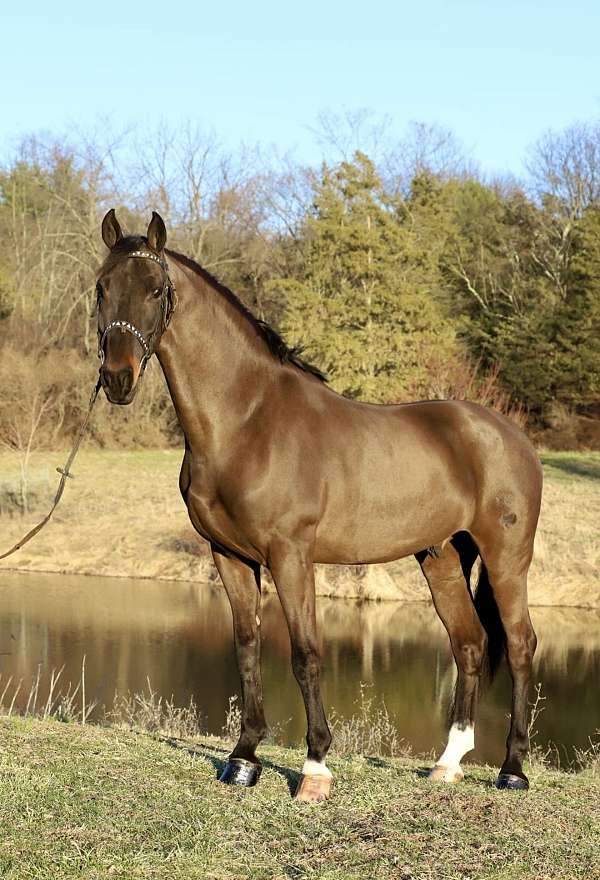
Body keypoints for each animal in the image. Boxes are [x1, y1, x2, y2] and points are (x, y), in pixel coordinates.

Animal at [96, 209, 542, 802]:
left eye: (155, 289)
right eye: (102, 288)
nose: (118, 379)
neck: (248, 421)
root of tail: (510, 436)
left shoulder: (290, 556)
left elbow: (305, 653)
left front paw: (314, 769)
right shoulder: (228, 556)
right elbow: (246, 647)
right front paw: (243, 759)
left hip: (506, 559)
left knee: (518, 645)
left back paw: (512, 770)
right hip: (443, 557)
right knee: (469, 643)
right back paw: (447, 764)